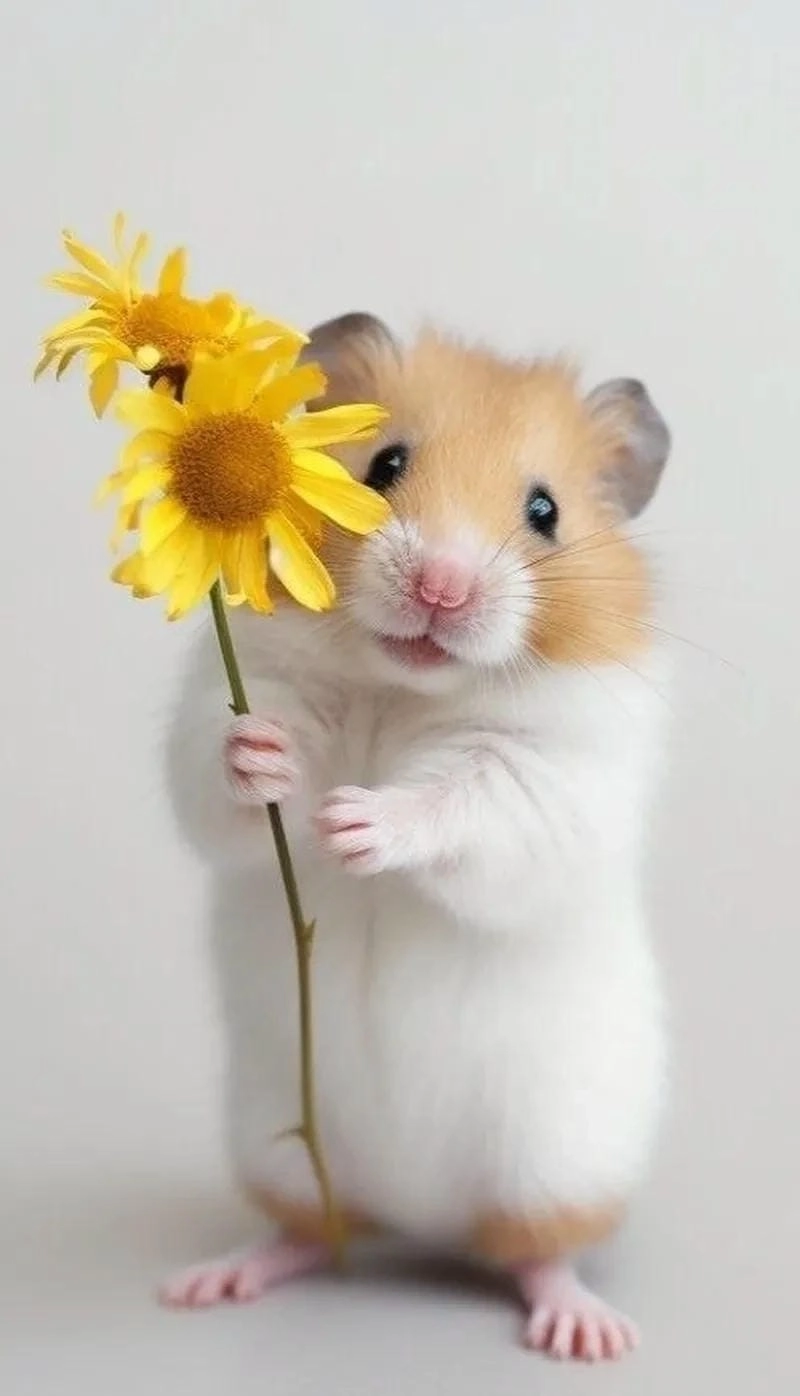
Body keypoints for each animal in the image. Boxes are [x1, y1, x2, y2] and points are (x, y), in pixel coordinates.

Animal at [161, 314, 671, 1362]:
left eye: (545, 511)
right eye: (385, 463)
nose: (441, 586)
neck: (405, 685)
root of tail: (419, 1216)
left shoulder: (549, 776)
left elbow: (458, 803)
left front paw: (351, 819)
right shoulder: (233, 696)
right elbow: (215, 768)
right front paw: (267, 760)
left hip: (559, 1161)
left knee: (536, 1253)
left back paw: (585, 1332)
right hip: (272, 1140)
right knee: (308, 1230)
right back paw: (212, 1280)